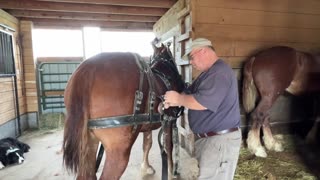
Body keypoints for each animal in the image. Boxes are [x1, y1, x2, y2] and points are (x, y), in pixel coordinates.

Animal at [62, 43, 185, 179]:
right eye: (171, 58)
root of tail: (86, 71)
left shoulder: (148, 123)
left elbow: (147, 144)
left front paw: (146, 168)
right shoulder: (169, 121)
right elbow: (169, 146)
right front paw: (171, 172)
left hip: (89, 143)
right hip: (118, 151)